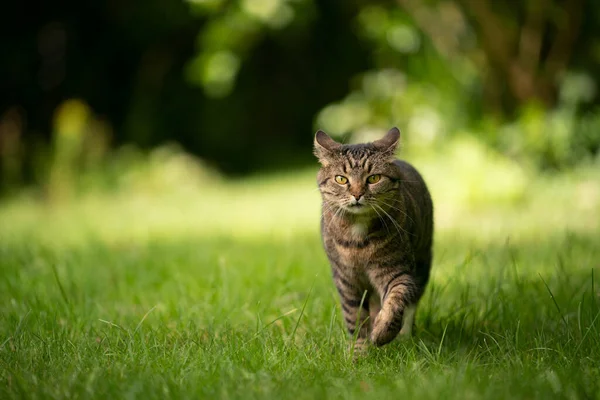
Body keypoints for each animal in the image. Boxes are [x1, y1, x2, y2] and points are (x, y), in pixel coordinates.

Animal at [314, 129, 432, 350]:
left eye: (374, 178)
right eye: (341, 179)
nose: (357, 194)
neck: (358, 242)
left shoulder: (397, 270)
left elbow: (396, 299)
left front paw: (383, 332)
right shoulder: (346, 280)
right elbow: (355, 318)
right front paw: (359, 351)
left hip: (422, 262)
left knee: (411, 304)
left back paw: (404, 336)